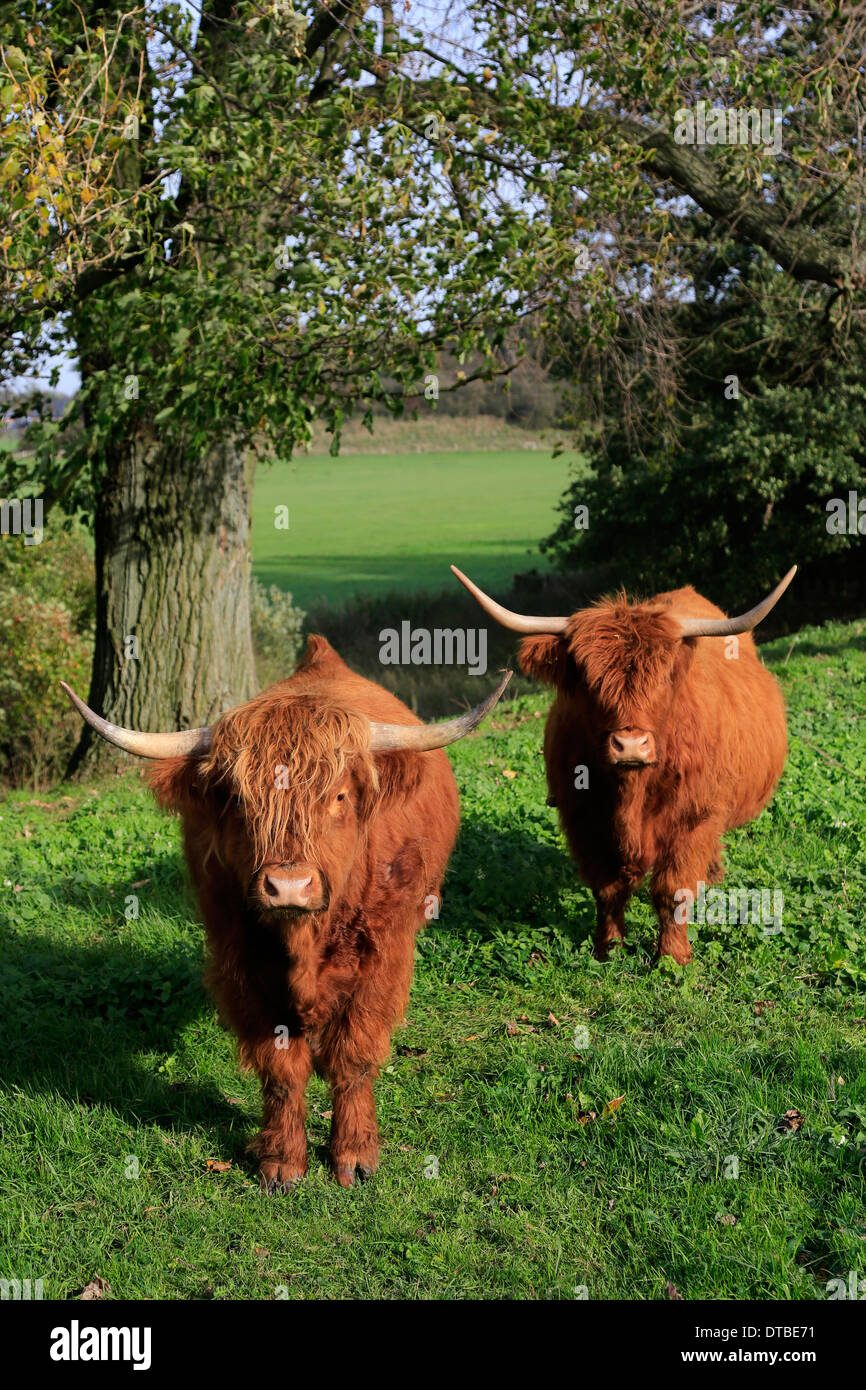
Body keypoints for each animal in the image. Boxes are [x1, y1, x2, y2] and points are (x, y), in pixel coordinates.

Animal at [64, 636, 511, 1189]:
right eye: (237, 800)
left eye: (339, 796)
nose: (288, 887)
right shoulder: (241, 964)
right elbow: (280, 1068)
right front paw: (281, 1160)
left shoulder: (381, 960)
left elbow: (353, 1056)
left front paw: (354, 1155)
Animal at [453, 564, 800, 967]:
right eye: (588, 680)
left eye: (664, 677)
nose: (630, 745)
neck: (631, 792)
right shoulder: (583, 821)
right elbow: (607, 888)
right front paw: (609, 949)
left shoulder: (692, 818)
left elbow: (673, 890)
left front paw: (672, 958)